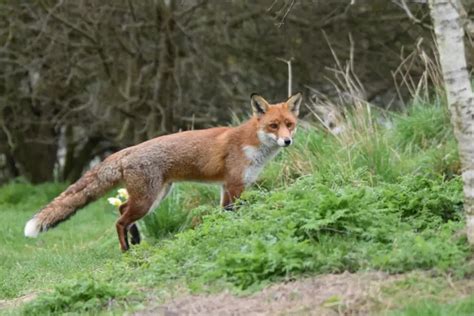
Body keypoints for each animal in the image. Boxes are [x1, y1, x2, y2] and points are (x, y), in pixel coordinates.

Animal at [24, 92, 302, 252]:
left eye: (289, 124)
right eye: (273, 126)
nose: (287, 141)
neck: (252, 144)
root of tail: (127, 150)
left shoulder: (228, 187)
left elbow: (225, 214)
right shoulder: (234, 185)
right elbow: (234, 214)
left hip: (155, 196)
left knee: (122, 210)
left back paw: (136, 239)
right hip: (148, 200)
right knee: (119, 221)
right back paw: (127, 250)